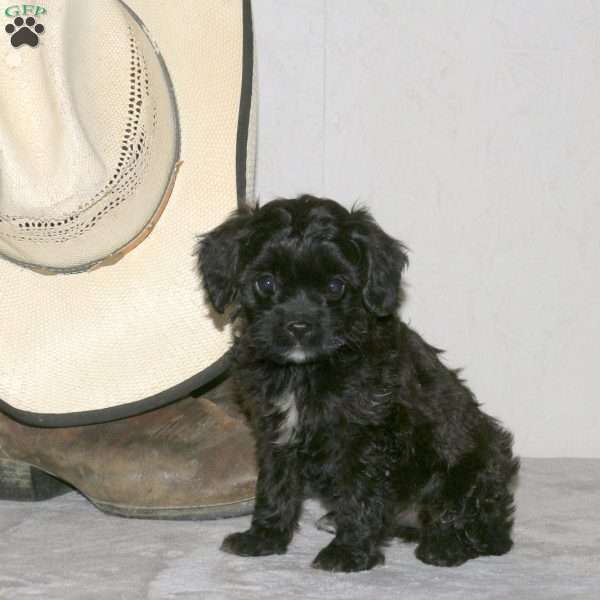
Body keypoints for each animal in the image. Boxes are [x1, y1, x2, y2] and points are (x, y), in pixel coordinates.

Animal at [197, 196, 516, 572]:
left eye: (336, 287)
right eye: (266, 283)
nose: (299, 326)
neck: (304, 371)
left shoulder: (364, 434)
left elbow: (359, 492)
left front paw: (348, 552)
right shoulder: (274, 432)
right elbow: (275, 486)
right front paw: (264, 536)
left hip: (476, 464)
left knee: (483, 528)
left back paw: (446, 544)